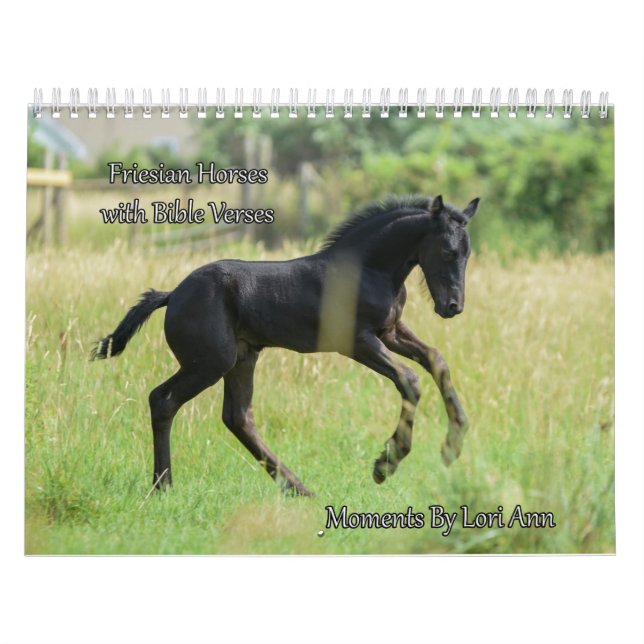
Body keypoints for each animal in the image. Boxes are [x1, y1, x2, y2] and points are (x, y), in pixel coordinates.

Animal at [92, 194, 480, 496]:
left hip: (242, 358)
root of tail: (173, 294)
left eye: (468, 253)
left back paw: (298, 488)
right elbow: (409, 380)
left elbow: (436, 360)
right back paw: (163, 485)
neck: (368, 271)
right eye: (447, 251)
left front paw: (454, 444)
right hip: (210, 363)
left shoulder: (391, 332)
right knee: (163, 401)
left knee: (238, 417)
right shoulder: (358, 341)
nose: (453, 306)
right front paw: (386, 463)